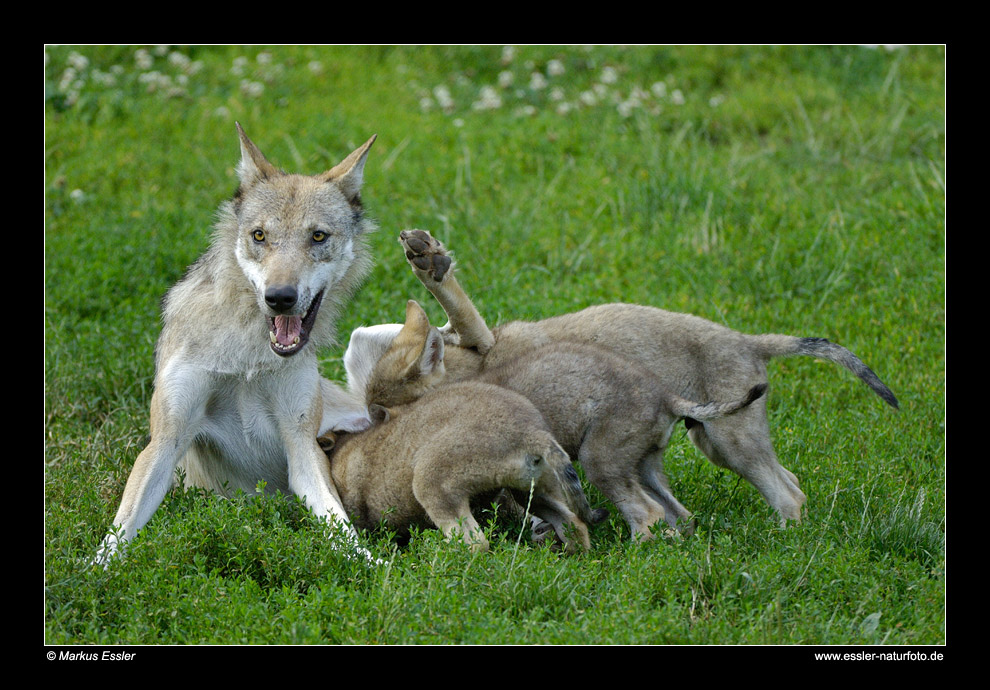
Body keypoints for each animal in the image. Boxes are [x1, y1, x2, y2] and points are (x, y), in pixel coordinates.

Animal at [97, 125, 378, 564]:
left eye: (318, 236)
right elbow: (117, 536)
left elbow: (341, 528)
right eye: (259, 235)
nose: (279, 297)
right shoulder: (165, 442)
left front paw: (379, 567)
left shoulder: (302, 446)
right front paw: (86, 575)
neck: (248, 355)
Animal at [360, 298, 764, 540]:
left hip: (600, 462)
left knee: (648, 514)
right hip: (642, 467)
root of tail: (666, 396)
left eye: (381, 414)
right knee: (680, 515)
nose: (371, 441)